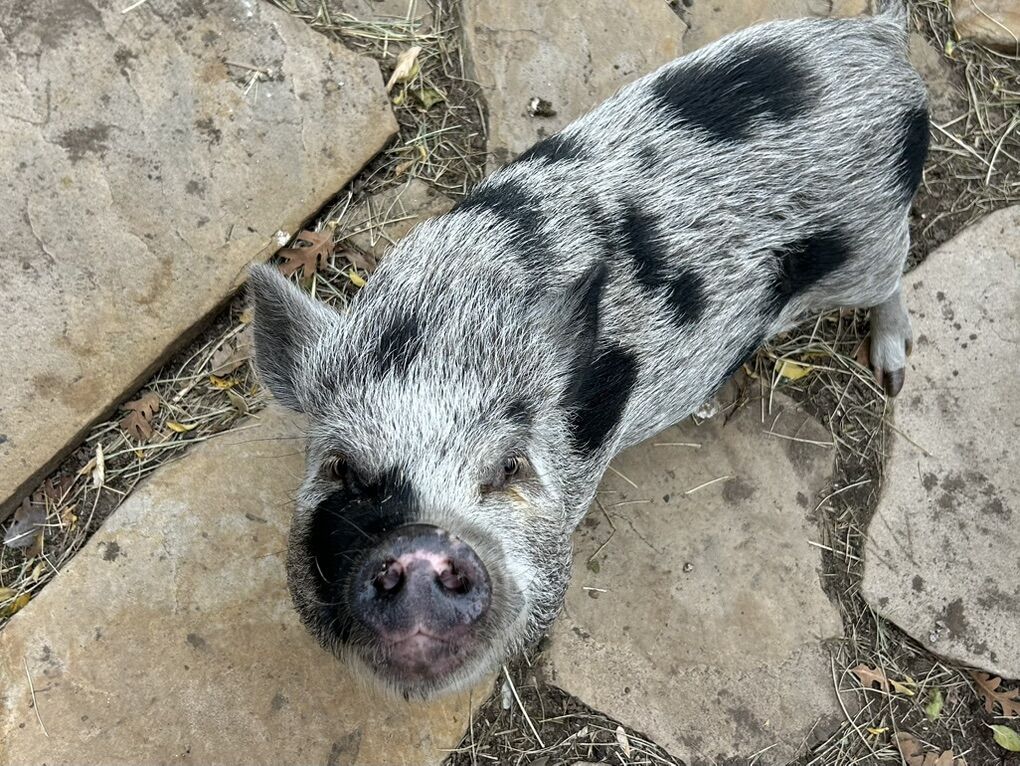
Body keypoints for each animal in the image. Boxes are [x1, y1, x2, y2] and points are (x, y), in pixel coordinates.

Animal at [249, 0, 928, 698]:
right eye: (341, 468)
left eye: (510, 467)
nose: (417, 545)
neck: (447, 329)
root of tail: (878, 38)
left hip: (870, 243)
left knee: (896, 274)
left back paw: (893, 374)